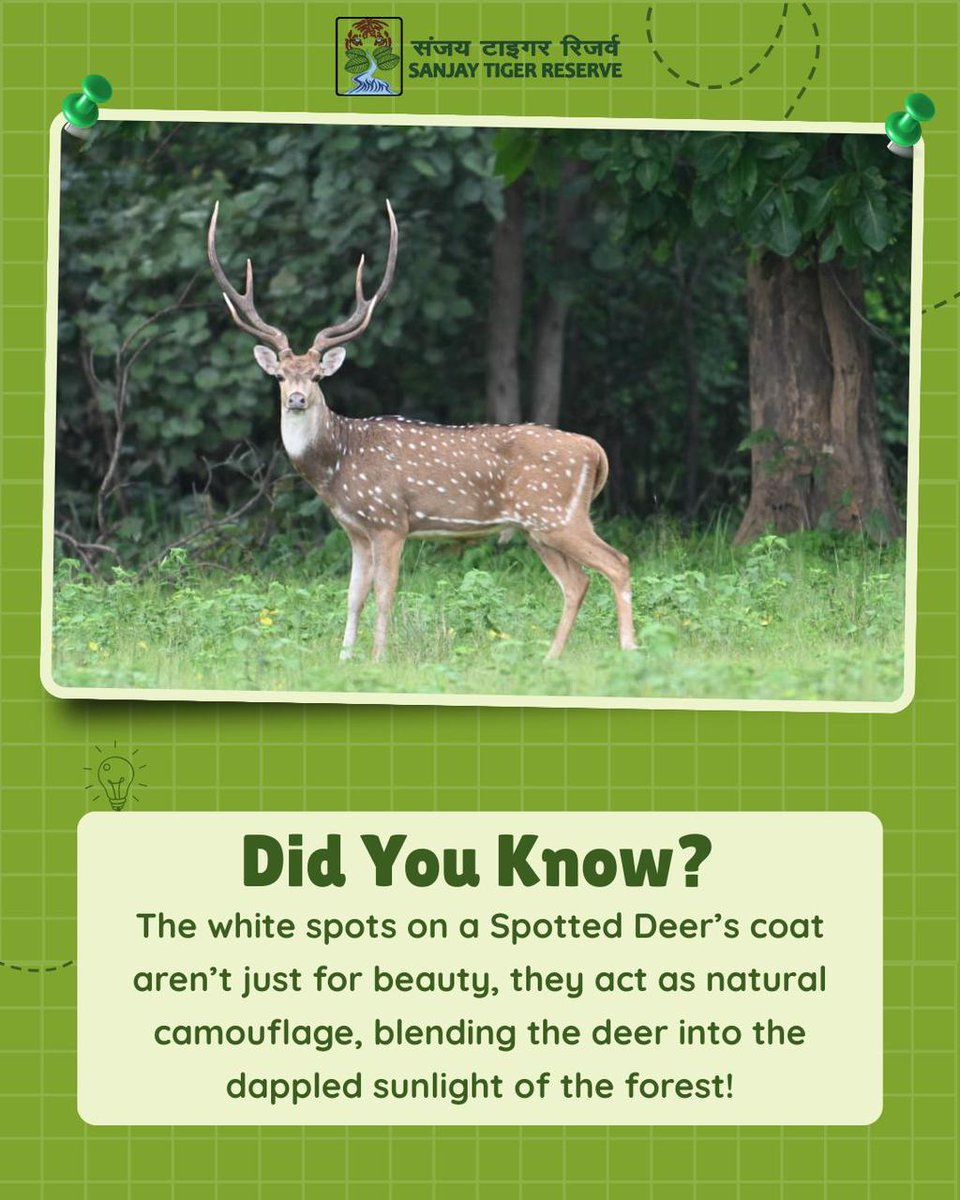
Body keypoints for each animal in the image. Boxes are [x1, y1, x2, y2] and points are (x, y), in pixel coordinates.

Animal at [206, 200, 636, 663]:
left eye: (318, 376)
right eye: (281, 376)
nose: (298, 399)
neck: (336, 465)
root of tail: (594, 450)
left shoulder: (389, 520)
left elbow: (384, 595)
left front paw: (377, 658)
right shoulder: (355, 530)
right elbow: (352, 596)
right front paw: (344, 660)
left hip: (557, 514)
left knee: (617, 563)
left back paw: (629, 649)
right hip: (538, 526)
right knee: (577, 581)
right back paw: (550, 658)